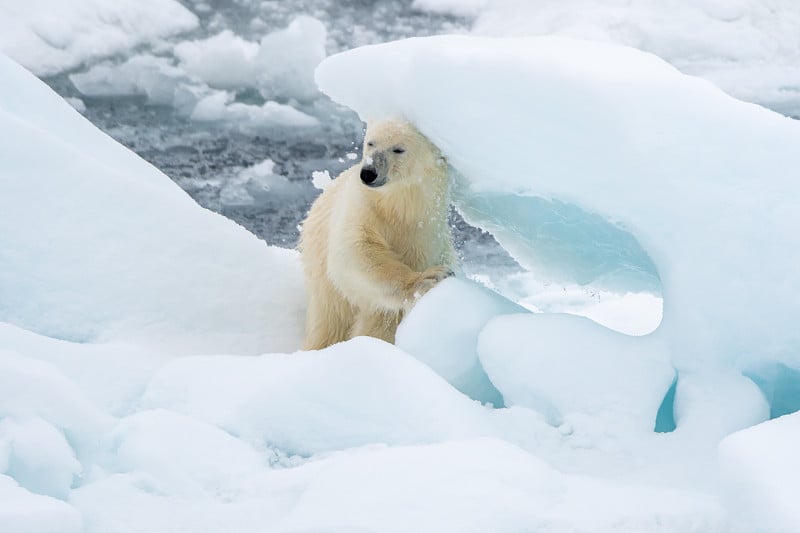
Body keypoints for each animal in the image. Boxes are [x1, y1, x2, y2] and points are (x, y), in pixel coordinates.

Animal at [298, 119, 454, 350]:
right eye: (370, 142)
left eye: (398, 149)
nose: (369, 173)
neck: (397, 206)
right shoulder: (362, 207)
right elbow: (356, 252)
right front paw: (428, 278)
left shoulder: (424, 230)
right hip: (323, 284)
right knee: (330, 322)